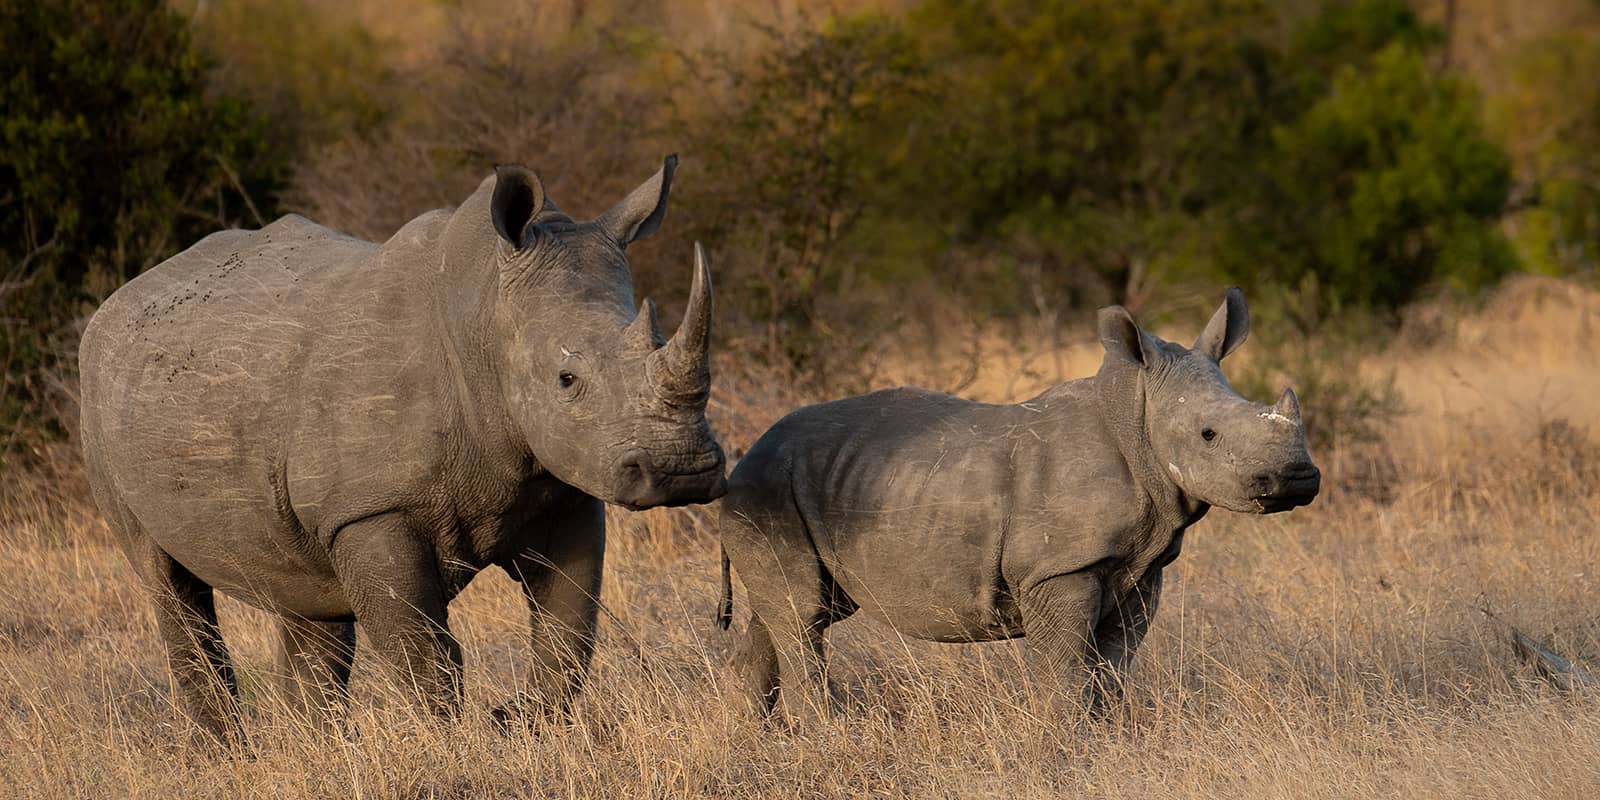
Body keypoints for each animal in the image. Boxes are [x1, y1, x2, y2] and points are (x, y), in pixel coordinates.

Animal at [78, 156, 723, 742]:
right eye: (567, 380)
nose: (682, 470)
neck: (484, 314)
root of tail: (117, 301)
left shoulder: (565, 487)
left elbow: (569, 631)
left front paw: (517, 723)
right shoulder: (372, 507)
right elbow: (423, 651)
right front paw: (454, 750)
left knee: (307, 594)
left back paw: (317, 754)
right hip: (99, 396)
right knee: (167, 582)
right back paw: (228, 756)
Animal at [720, 291, 1318, 716]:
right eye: (1209, 435)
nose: (1300, 478)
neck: (1137, 418)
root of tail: (741, 463)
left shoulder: (1142, 566)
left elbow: (1113, 667)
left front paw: (1109, 738)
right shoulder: (1058, 568)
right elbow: (1066, 673)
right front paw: (1069, 746)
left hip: (801, 487)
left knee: (790, 613)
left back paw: (755, 734)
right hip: (769, 490)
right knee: (803, 617)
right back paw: (818, 734)